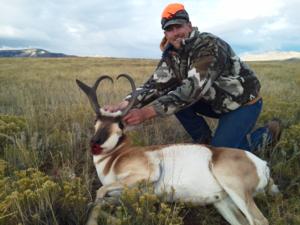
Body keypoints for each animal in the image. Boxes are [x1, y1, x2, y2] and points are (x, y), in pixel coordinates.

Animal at [77, 74, 278, 225]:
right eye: (96, 119)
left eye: (120, 124)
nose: (95, 142)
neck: (117, 157)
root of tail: (262, 164)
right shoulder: (122, 196)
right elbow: (94, 203)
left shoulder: (147, 175)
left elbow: (98, 193)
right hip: (223, 203)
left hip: (236, 191)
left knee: (260, 221)